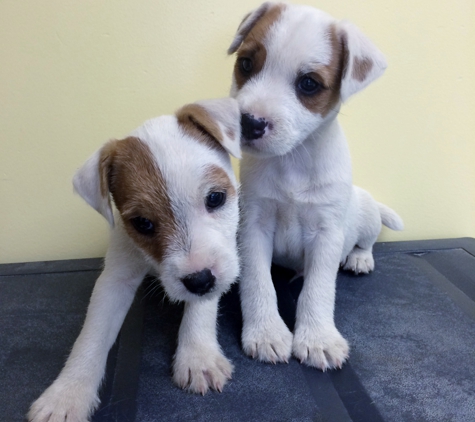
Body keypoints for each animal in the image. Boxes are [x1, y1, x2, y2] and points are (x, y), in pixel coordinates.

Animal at [27, 96, 242, 422]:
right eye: (142, 223)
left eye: (215, 198)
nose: (200, 280)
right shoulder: (115, 280)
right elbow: (92, 335)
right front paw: (67, 394)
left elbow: (201, 306)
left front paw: (197, 356)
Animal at [229, 3, 404, 370]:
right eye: (246, 64)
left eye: (308, 84)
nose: (249, 123)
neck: (293, 161)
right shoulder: (254, 226)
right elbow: (258, 282)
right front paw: (265, 332)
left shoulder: (326, 235)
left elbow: (318, 290)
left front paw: (317, 338)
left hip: (367, 218)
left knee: (366, 242)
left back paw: (360, 258)